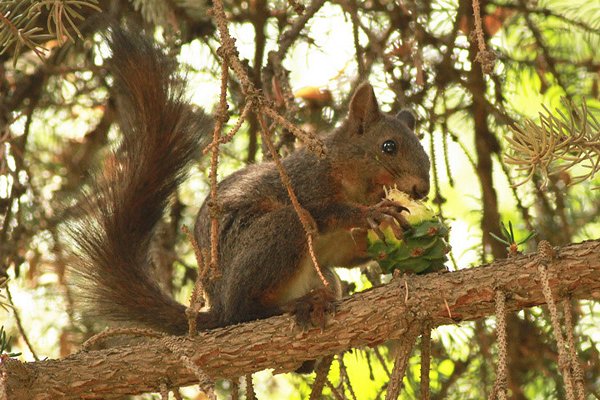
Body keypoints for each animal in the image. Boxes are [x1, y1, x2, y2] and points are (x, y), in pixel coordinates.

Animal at [68, 28, 428, 340]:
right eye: (389, 146)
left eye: (423, 148)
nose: (422, 191)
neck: (350, 177)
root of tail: (217, 307)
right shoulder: (306, 184)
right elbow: (326, 212)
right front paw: (373, 213)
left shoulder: (338, 248)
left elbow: (348, 255)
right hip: (276, 234)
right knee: (245, 311)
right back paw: (297, 305)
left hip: (317, 272)